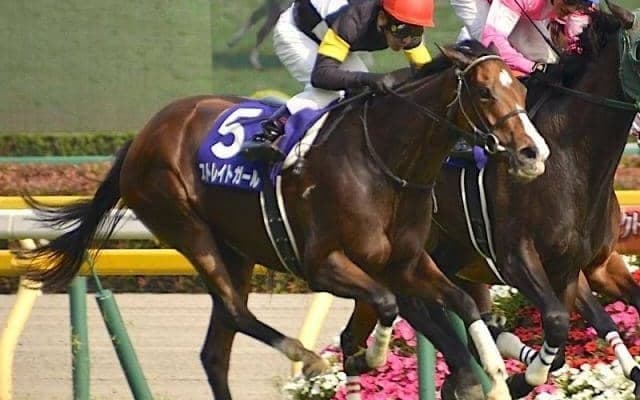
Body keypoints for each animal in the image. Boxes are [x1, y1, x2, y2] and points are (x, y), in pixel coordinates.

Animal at [21, 41, 550, 400]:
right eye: (484, 91)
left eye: (522, 89)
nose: (532, 153)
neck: (384, 162)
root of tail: (143, 135)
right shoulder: (322, 265)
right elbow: (386, 302)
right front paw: (370, 355)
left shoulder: (406, 261)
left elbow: (460, 303)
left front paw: (495, 376)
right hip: (186, 227)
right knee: (236, 312)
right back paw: (310, 360)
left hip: (235, 251)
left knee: (216, 350)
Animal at [319, 3, 640, 398]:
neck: (570, 160)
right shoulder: (516, 258)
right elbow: (556, 323)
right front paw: (514, 379)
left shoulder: (589, 265)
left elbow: (569, 333)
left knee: (362, 333)